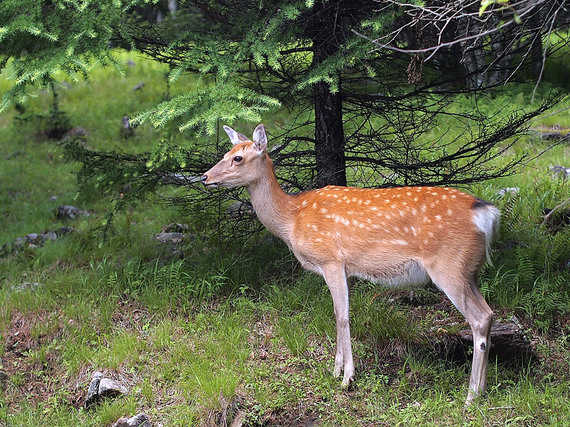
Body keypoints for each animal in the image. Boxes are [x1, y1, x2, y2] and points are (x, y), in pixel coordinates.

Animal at [200, 123, 496, 404]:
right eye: (225, 153)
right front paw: (336, 370)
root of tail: (487, 213)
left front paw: (346, 377)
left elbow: (341, 316)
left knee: (479, 318)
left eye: (237, 158)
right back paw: (482, 390)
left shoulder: (330, 259)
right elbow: (339, 314)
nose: (205, 177)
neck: (292, 220)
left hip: (448, 265)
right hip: (469, 270)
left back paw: (471, 395)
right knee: (489, 313)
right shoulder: (349, 271)